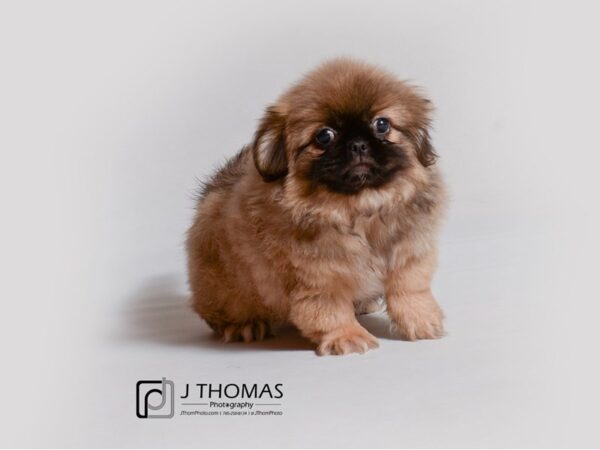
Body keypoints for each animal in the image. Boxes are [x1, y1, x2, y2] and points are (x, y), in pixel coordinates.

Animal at [186, 57, 446, 356]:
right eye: (324, 136)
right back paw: (244, 326)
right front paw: (348, 337)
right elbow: (330, 312)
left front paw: (423, 321)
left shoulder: (410, 255)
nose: (358, 144)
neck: (358, 210)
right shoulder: (320, 276)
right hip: (226, 287)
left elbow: (410, 291)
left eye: (382, 124)